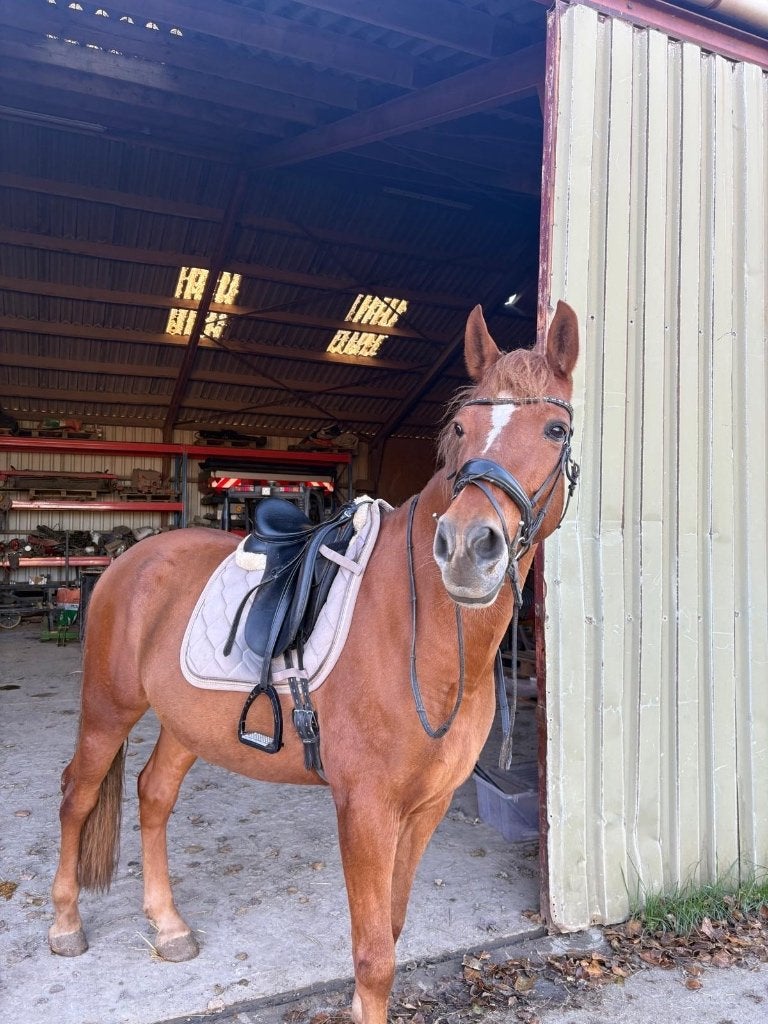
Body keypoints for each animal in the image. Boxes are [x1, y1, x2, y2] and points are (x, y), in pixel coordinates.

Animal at [48, 300, 579, 1024]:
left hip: (186, 724)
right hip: (108, 708)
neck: (423, 639)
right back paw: (65, 924)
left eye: (556, 429)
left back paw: (169, 926)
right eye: (461, 428)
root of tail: (130, 561)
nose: (468, 547)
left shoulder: (427, 806)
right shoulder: (365, 808)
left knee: (153, 795)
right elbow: (374, 956)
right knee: (77, 794)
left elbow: (392, 932)